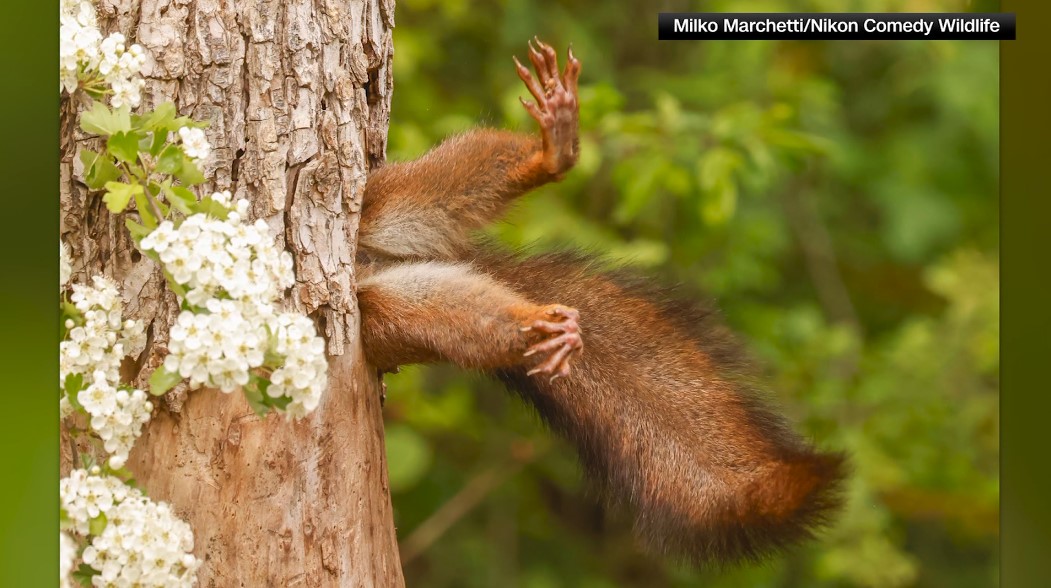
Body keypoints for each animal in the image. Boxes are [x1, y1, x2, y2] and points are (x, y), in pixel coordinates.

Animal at [355, 38, 846, 565]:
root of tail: (370, 264)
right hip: (386, 315)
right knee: (451, 314)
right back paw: (540, 325)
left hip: (381, 202)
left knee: (439, 185)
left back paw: (552, 152)